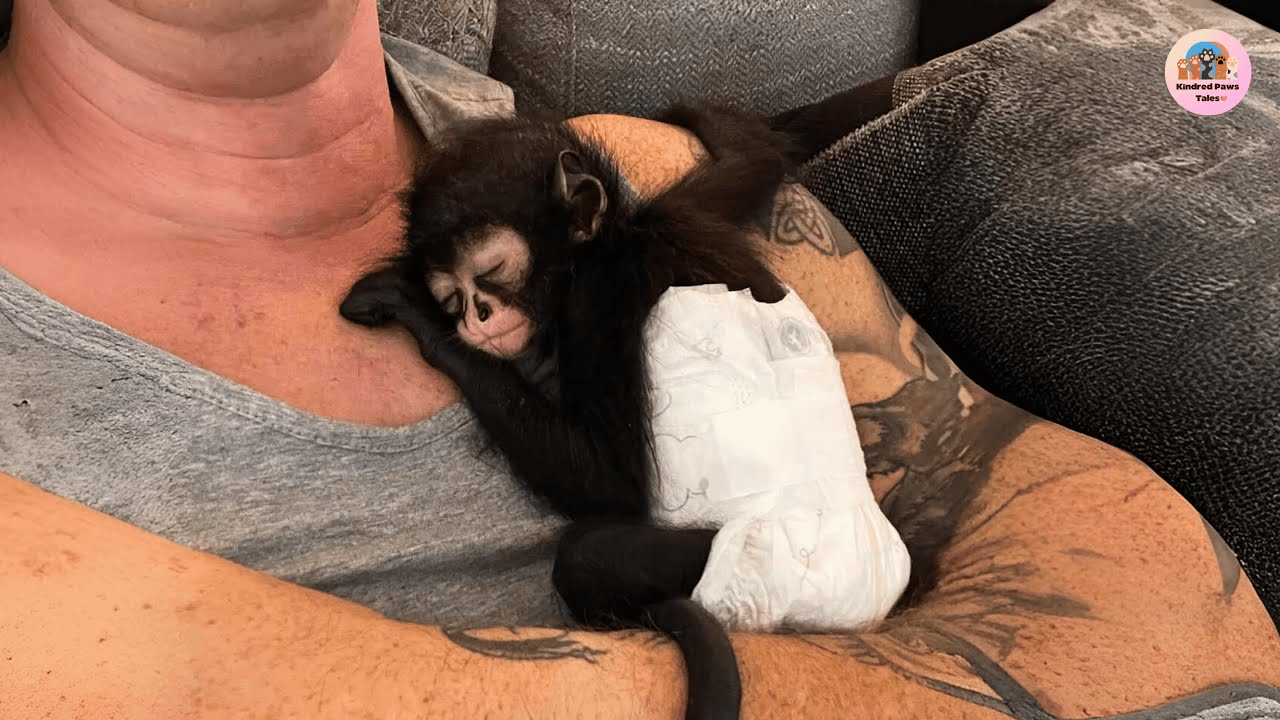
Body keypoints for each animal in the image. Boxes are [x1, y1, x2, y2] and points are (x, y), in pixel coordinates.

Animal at [340, 89, 912, 720]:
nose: (475, 316)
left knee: (588, 555)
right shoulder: (676, 210)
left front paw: (414, 315)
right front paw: (701, 118)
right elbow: (751, 166)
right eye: (454, 298)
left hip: (765, 561)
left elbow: (609, 482)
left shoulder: (595, 296)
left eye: (491, 272)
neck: (614, 242)